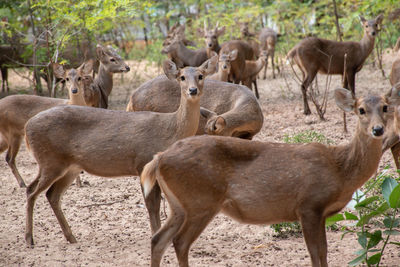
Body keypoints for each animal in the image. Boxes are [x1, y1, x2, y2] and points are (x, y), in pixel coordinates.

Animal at [0, 60, 94, 188]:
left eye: (80, 77)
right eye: (66, 78)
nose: (74, 90)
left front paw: (79, 183)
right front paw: (78, 183)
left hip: (7, 136)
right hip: (12, 133)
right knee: (9, 158)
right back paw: (22, 183)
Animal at [23, 56, 217, 247]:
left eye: (200, 75)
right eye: (182, 77)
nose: (192, 90)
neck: (171, 130)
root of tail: (28, 126)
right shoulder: (142, 163)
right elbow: (151, 205)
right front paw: (154, 234)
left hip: (69, 166)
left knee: (51, 194)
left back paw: (71, 237)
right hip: (50, 160)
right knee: (32, 191)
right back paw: (30, 239)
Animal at [140, 88, 394, 267]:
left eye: (385, 107)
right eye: (361, 109)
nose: (378, 130)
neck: (340, 169)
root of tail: (159, 158)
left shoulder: (319, 212)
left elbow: (323, 252)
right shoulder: (309, 205)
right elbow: (316, 253)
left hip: (179, 206)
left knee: (158, 239)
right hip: (200, 201)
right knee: (179, 242)